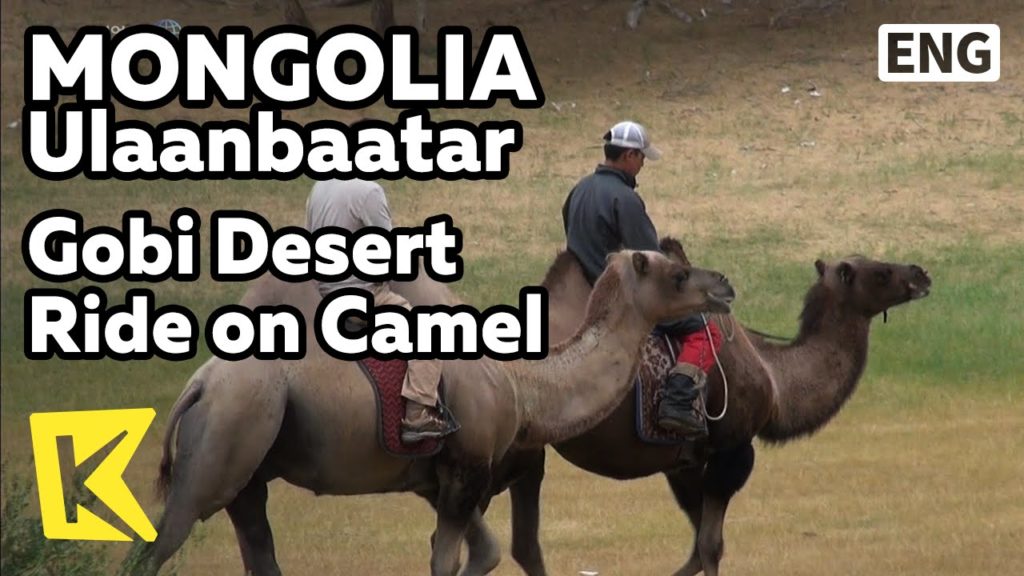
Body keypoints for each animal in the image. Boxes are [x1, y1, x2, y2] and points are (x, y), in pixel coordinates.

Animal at [131, 249, 735, 576]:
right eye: (677, 273)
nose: (725, 284)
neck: (522, 383)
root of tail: (199, 385)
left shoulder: (441, 478)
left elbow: (484, 552)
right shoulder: (468, 470)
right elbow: (447, 561)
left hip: (246, 468)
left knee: (255, 548)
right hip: (224, 441)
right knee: (156, 545)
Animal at [482, 244, 932, 576]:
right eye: (880, 272)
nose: (921, 273)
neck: (774, 380)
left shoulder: (682, 461)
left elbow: (698, 546)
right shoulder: (731, 450)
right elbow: (712, 546)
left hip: (528, 452)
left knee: (523, 543)